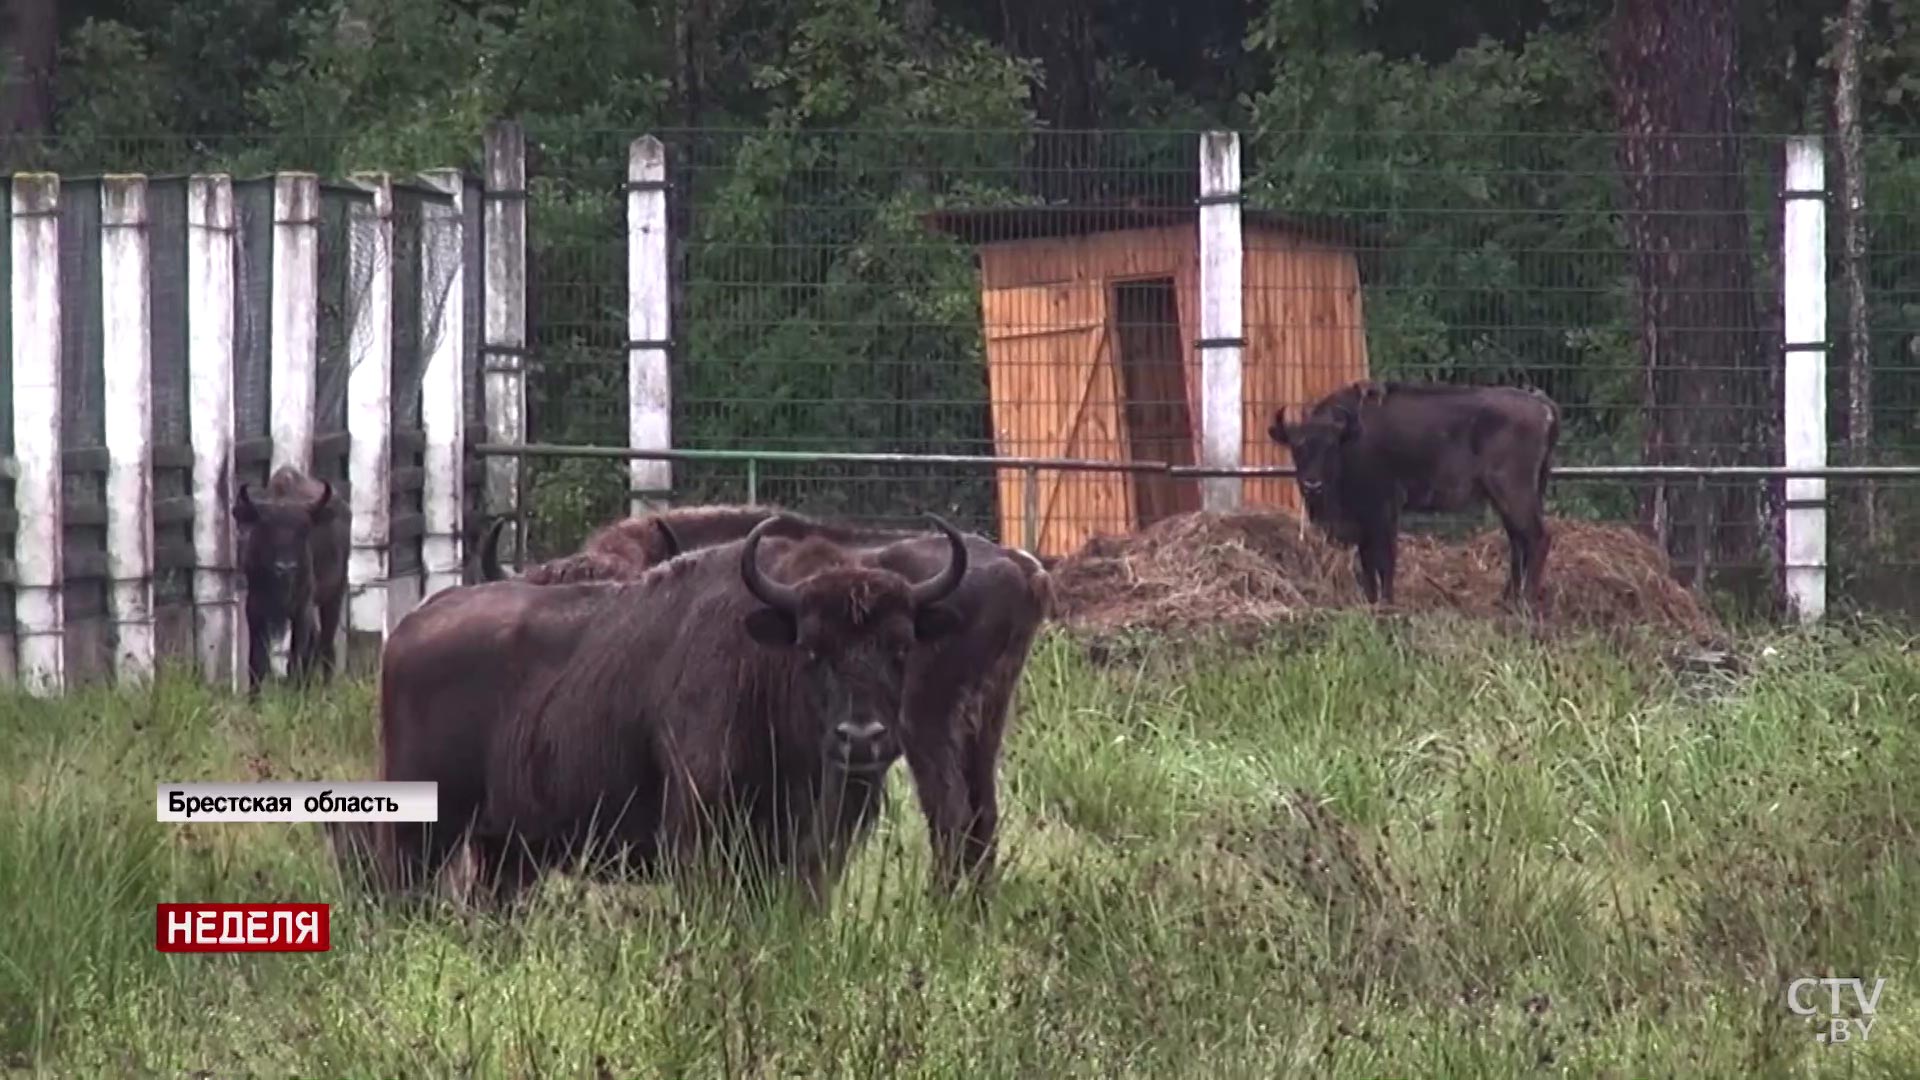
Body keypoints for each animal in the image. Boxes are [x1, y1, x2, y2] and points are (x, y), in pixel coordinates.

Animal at [234, 463, 351, 687]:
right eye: (266, 528)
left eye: (304, 529)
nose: (285, 567)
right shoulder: (254, 608)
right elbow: (257, 662)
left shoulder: (301, 610)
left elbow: (295, 660)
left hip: (334, 595)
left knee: (326, 645)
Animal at [370, 507, 975, 903]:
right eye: (810, 648)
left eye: (901, 647)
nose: (862, 737)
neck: (764, 663)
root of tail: (410, 628)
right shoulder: (700, 840)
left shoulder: (813, 855)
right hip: (422, 835)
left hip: (506, 848)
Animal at [1274, 380, 1559, 611]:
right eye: (1296, 448)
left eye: (1330, 447)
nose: (1312, 484)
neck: (1352, 437)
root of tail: (1541, 405)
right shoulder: (1366, 520)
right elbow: (1367, 562)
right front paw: (1371, 601)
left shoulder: (1383, 510)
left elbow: (1384, 559)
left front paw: (1386, 603)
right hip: (1506, 498)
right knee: (1518, 542)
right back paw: (1507, 601)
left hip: (1512, 493)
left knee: (1537, 538)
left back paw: (1526, 603)